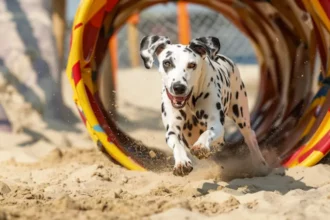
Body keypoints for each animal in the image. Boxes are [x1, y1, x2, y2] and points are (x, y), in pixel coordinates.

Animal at [139, 35, 270, 176]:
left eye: (192, 65)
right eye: (167, 63)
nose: (179, 87)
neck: (190, 101)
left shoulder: (216, 123)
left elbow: (208, 133)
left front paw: (201, 146)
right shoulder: (172, 129)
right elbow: (176, 143)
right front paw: (181, 162)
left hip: (240, 113)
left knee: (249, 135)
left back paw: (260, 164)